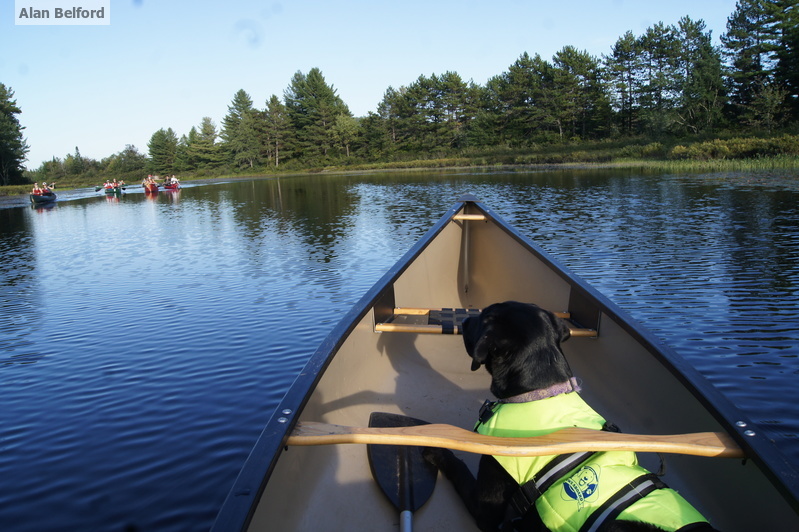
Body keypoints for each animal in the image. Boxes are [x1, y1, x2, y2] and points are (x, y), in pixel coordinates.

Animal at [424, 304, 720, 532]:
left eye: (484, 316)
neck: (541, 394)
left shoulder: (486, 506)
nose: (464, 320)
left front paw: (436, 450)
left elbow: (458, 466)